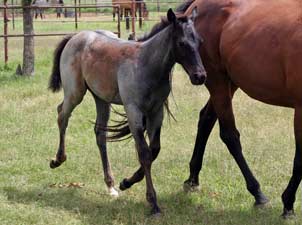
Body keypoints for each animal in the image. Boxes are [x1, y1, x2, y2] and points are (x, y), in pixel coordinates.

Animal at [48, 8, 206, 215]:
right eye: (182, 43)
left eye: (200, 42)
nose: (200, 76)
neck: (146, 65)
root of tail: (76, 36)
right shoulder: (133, 111)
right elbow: (144, 153)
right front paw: (153, 203)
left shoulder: (156, 112)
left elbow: (154, 150)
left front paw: (126, 183)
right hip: (75, 93)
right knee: (62, 115)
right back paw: (57, 160)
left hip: (102, 99)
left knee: (99, 134)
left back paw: (111, 185)